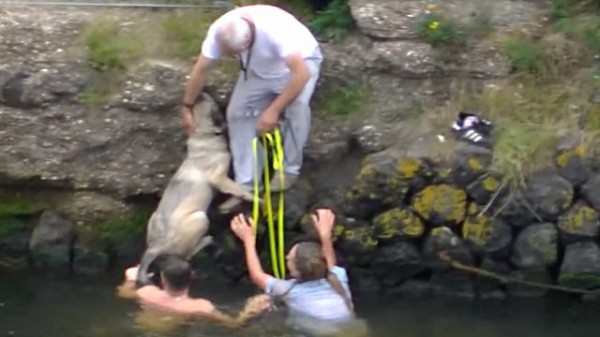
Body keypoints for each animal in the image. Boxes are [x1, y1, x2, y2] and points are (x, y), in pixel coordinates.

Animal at [137, 92, 254, 286]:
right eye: (213, 103)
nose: (201, 92)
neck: (203, 133)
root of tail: (157, 246)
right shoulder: (220, 178)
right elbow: (237, 187)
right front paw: (252, 196)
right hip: (200, 218)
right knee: (187, 254)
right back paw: (206, 240)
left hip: (154, 218)